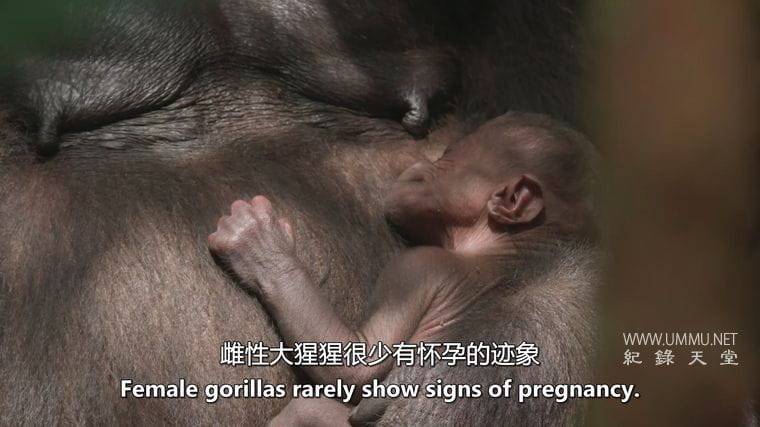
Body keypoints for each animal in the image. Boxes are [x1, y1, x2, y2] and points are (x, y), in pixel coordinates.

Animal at [208, 112, 599, 425]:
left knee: (312, 408)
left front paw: (262, 249)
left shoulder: (417, 268)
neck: (507, 242)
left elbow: (358, 364)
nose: (416, 168)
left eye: (448, 158)